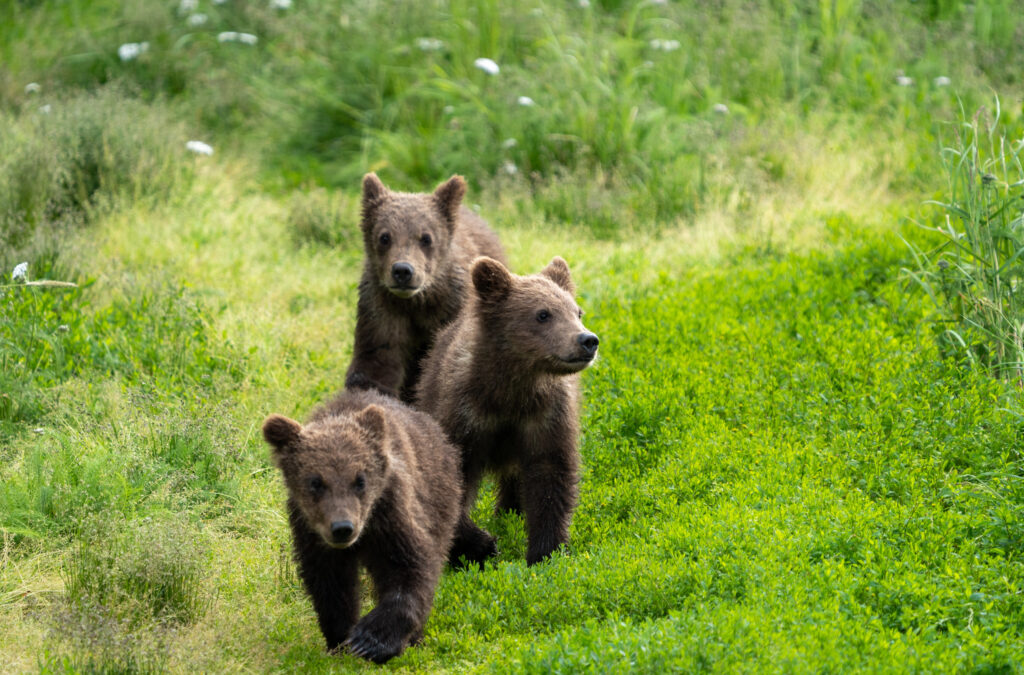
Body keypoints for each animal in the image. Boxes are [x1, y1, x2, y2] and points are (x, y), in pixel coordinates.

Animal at [262, 388, 462, 663]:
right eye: (316, 482)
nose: (342, 527)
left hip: (440, 500)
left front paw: (371, 640)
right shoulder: (311, 532)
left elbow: (410, 568)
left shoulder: (391, 515)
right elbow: (330, 584)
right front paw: (340, 639)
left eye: (360, 480)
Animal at [344, 173, 507, 403]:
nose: (403, 271)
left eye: (426, 238)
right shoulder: (382, 309)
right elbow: (377, 359)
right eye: (384, 236)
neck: (419, 301)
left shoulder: (452, 307)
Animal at [415, 256, 600, 567]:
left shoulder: (545, 416)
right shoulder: (466, 415)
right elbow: (453, 476)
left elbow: (551, 476)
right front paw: (480, 545)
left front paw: (545, 552)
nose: (587, 340)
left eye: (578, 312)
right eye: (543, 314)